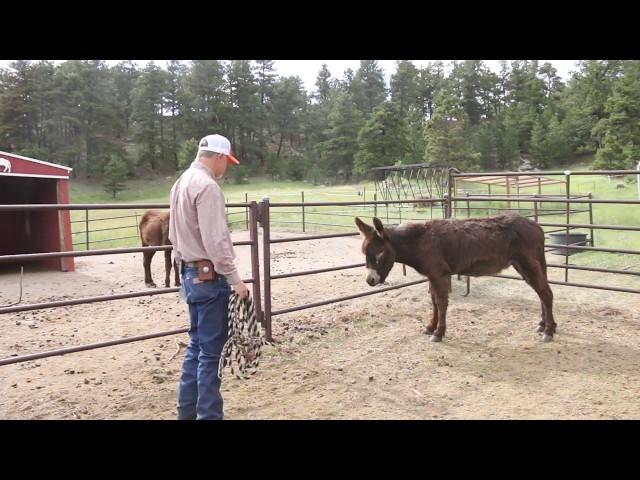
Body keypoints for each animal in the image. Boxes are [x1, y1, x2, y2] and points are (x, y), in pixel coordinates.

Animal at [356, 214, 556, 342]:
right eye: (364, 253)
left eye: (380, 254)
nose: (370, 281)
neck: (418, 241)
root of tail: (537, 227)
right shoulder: (432, 276)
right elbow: (434, 302)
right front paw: (430, 327)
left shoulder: (439, 274)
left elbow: (441, 302)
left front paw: (438, 333)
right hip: (526, 265)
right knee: (541, 292)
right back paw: (543, 325)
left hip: (527, 263)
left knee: (545, 293)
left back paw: (549, 331)